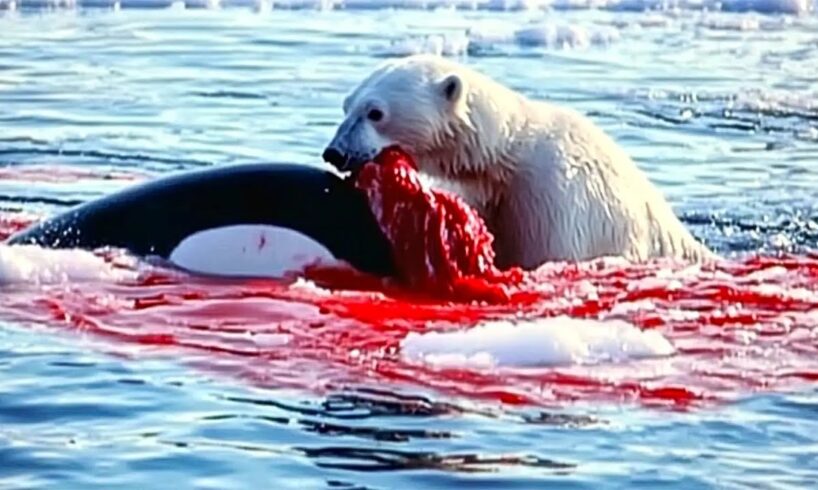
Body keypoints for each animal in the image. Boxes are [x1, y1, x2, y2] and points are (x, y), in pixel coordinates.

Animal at [322, 54, 716, 270]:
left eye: (375, 112)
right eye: (346, 106)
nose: (335, 152)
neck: (504, 155)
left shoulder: (556, 201)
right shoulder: (484, 191)